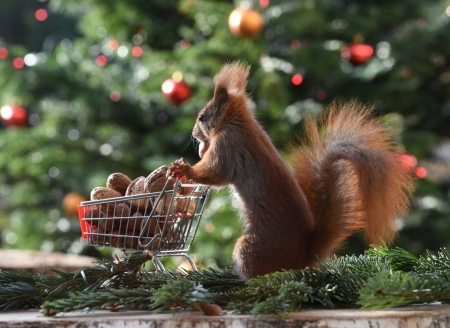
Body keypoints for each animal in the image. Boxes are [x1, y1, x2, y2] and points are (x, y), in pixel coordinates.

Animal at [171, 60, 416, 280]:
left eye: (201, 117)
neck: (237, 123)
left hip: (250, 248)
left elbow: (215, 172)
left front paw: (185, 168)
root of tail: (303, 257)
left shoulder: (228, 145)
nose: (193, 135)